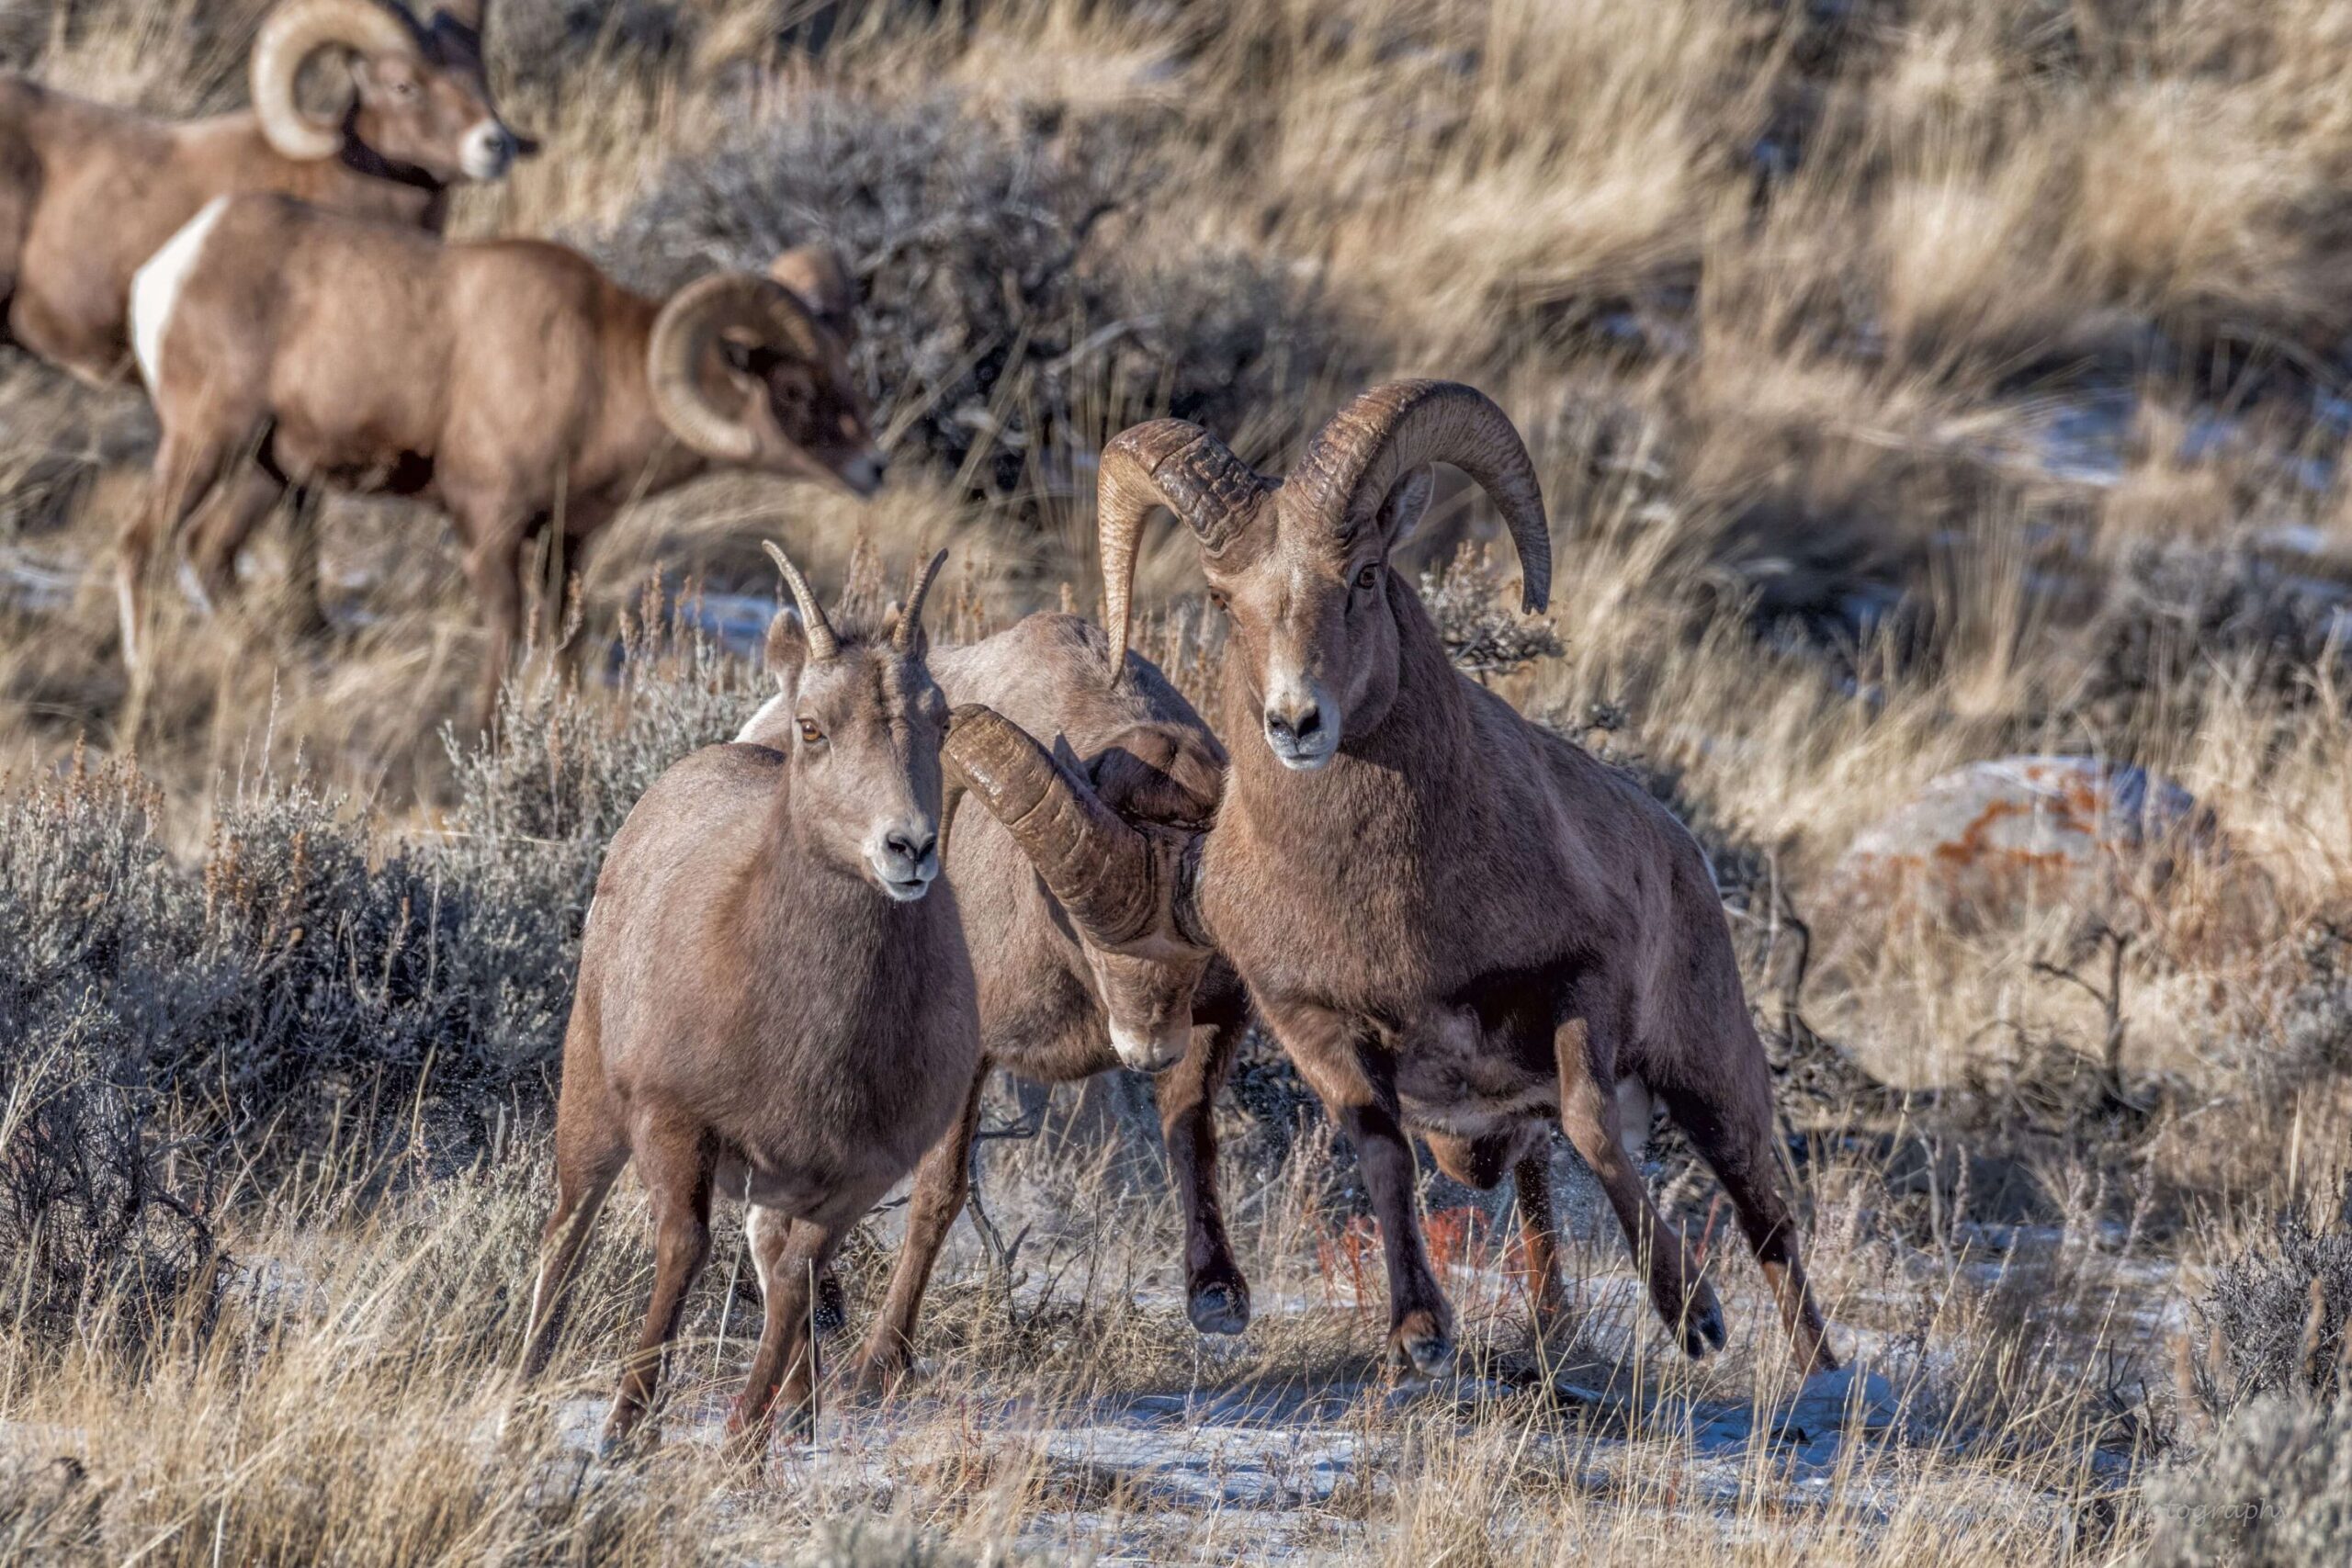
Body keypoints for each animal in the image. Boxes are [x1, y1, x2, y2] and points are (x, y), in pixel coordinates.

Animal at [121, 195, 875, 728]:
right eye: (794, 389)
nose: (873, 468)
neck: (597, 371)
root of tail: (170, 268)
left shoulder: (568, 540)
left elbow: (566, 640)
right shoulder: (489, 527)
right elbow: (510, 633)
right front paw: (487, 735)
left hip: (267, 469)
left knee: (210, 552)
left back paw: (282, 670)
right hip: (207, 440)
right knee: (142, 544)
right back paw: (145, 686)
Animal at [526, 545, 973, 1457]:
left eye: (940, 721)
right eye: (814, 727)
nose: (908, 848)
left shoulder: (855, 1174)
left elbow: (797, 1280)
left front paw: (743, 1436)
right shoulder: (676, 1125)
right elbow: (683, 1250)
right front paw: (627, 1428)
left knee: (773, 1265)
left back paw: (788, 1419)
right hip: (591, 1106)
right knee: (568, 1231)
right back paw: (516, 1398)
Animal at [733, 606, 1261, 1382]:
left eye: (1194, 955)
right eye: (1084, 928)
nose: (1146, 1049)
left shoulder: (1215, 1022)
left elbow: (1192, 1138)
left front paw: (1218, 1298)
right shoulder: (971, 1057)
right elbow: (939, 1195)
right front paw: (881, 1363)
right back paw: (821, 1308)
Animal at [1081, 385, 1834, 1382]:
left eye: (1361, 576)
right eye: (1222, 598)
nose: (1296, 722)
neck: (1393, 899)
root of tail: (1680, 844)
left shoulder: (1578, 986)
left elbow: (1595, 1128)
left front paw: (1693, 1315)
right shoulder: (1317, 1028)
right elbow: (1382, 1155)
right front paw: (1417, 1334)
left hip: (1711, 1080)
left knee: (1767, 1222)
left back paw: (1821, 1373)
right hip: (1496, 1130)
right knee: (1540, 1188)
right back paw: (1556, 1338)